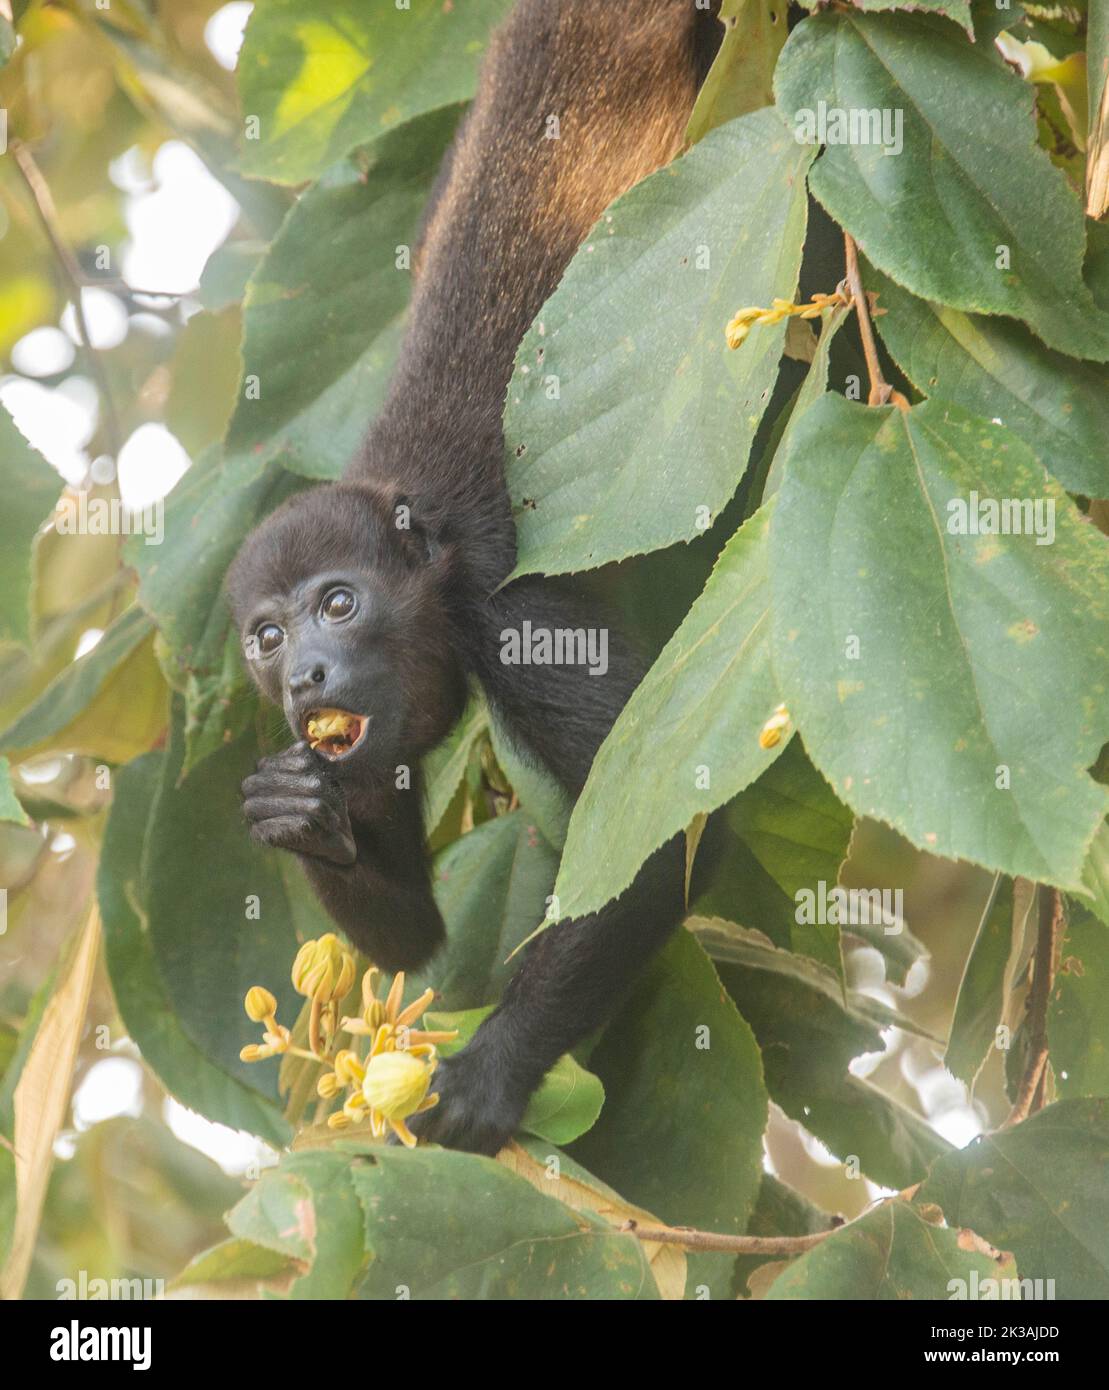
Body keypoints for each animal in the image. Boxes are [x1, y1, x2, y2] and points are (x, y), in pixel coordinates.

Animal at [230, 0, 722, 1150]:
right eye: (267, 635)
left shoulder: (514, 614)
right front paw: (292, 814)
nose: (305, 673)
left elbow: (660, 824)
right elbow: (409, 943)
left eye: (338, 603)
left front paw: (492, 1070)